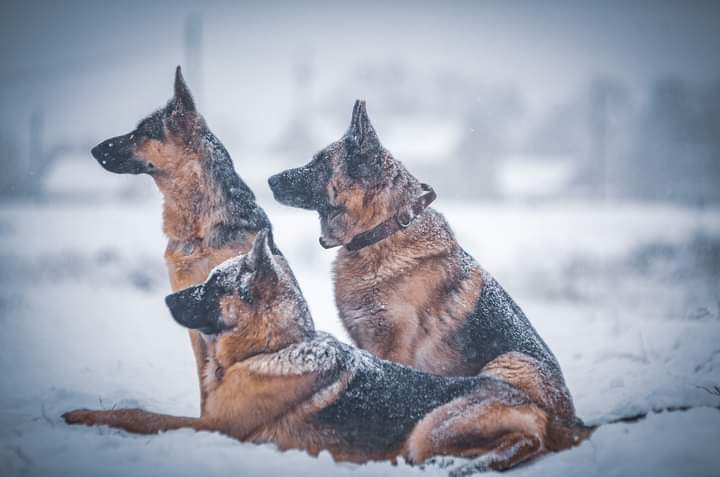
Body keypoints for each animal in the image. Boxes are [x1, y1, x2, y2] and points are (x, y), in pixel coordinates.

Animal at [64, 229, 588, 470]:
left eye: (213, 286)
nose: (168, 298)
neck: (272, 347)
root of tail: (548, 413)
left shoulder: (215, 429)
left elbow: (139, 415)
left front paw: (83, 416)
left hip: (428, 431)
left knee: (524, 443)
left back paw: (469, 463)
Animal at [268, 101, 588, 438]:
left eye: (320, 162)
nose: (270, 180)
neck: (383, 230)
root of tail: (571, 423)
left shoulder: (392, 346)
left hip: (511, 361)